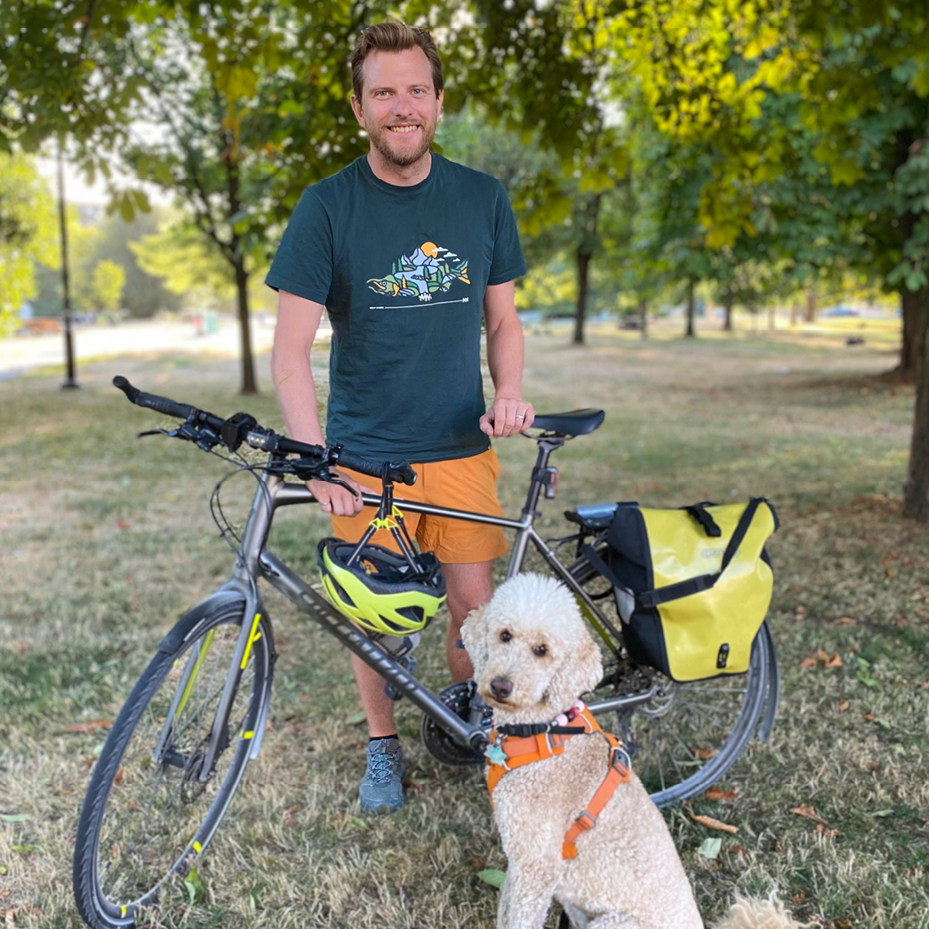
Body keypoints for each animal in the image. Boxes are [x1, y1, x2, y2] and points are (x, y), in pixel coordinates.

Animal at [462, 572, 796, 928]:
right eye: (505, 635)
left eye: (542, 650)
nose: (500, 686)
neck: (545, 730)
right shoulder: (519, 858)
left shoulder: (537, 864)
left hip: (612, 921)